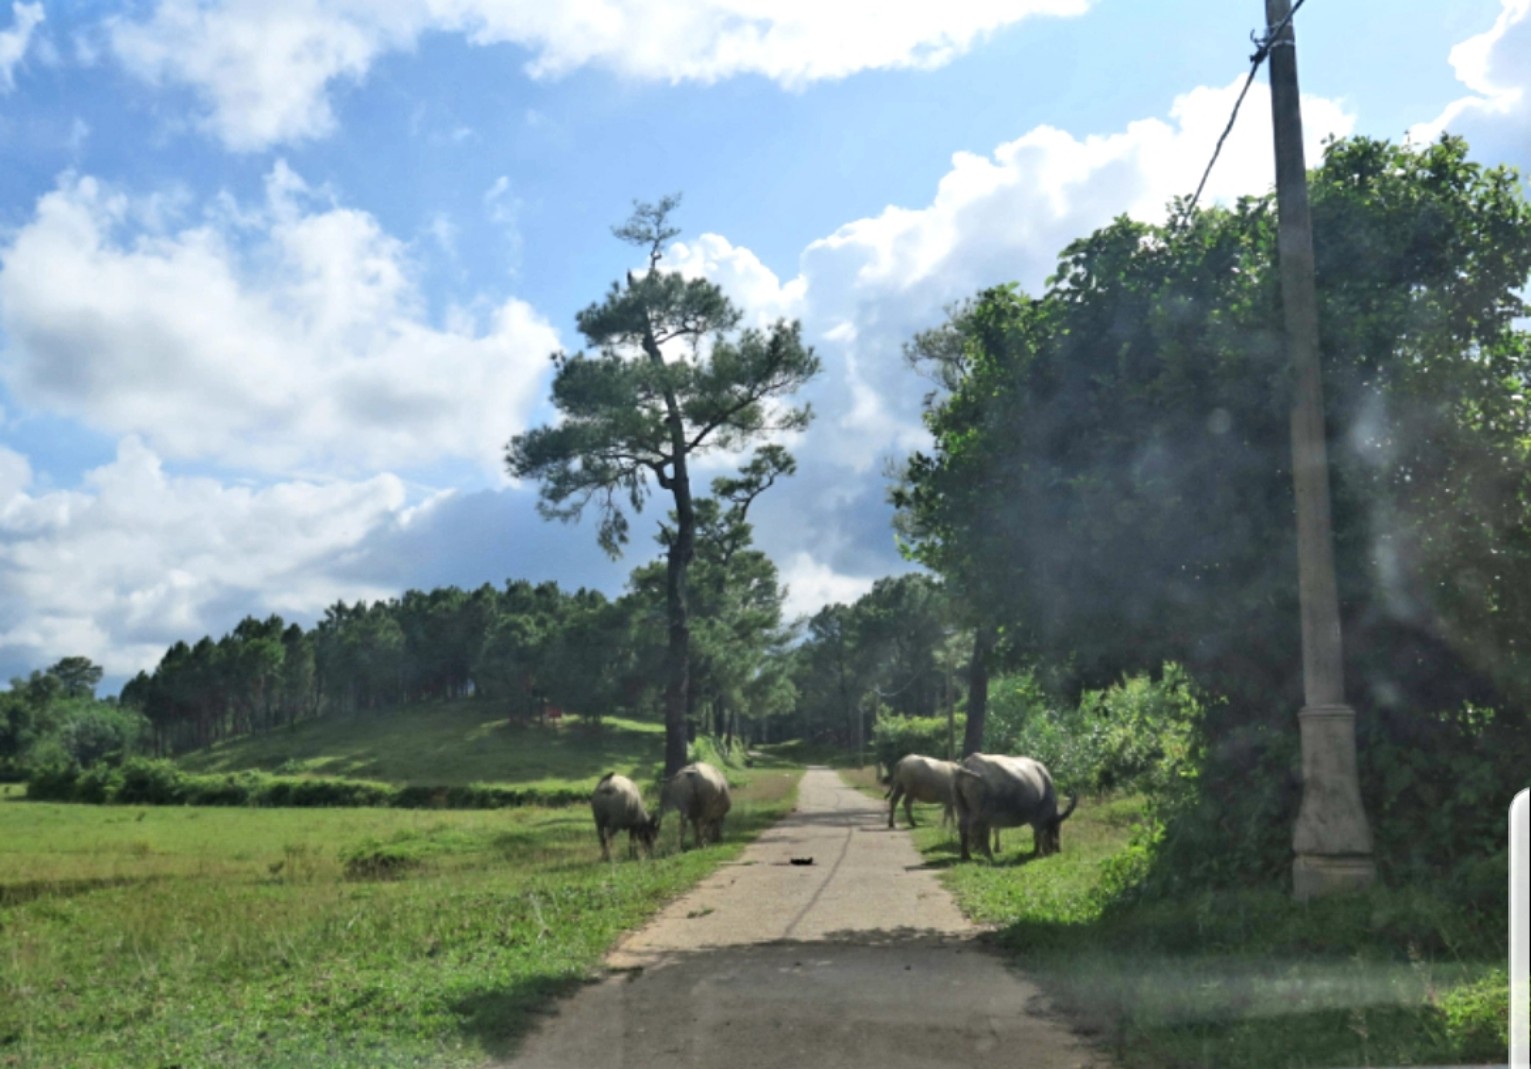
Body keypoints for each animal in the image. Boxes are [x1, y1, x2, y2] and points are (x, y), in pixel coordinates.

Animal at [949, 753, 1083, 863]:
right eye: (1056, 828)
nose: (1057, 850)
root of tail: (965, 766)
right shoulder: (1040, 819)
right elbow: (1039, 834)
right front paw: (1037, 853)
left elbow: (1036, 834)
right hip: (983, 812)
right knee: (982, 831)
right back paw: (989, 856)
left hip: (962, 807)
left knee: (963, 827)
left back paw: (966, 856)